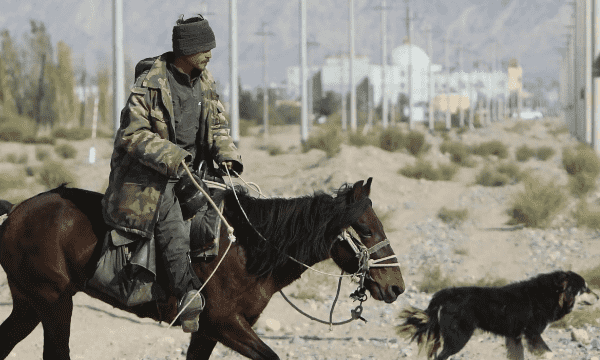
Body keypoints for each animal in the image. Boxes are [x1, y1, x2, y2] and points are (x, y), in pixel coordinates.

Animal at [0, 179, 406, 358]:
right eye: (367, 230)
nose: (396, 286)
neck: (248, 251)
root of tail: (16, 211)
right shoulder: (226, 325)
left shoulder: (208, 331)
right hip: (54, 303)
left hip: (29, 305)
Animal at [396, 270, 596, 360]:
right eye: (584, 289)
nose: (598, 296)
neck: (551, 293)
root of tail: (446, 294)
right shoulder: (532, 333)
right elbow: (548, 353)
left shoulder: (515, 337)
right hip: (459, 337)